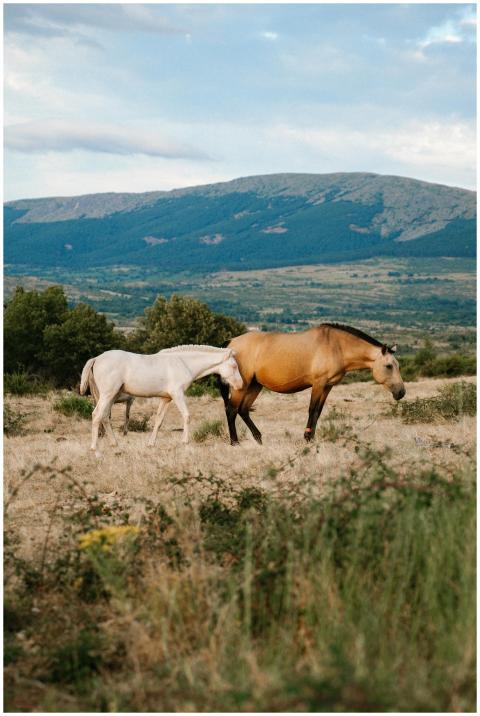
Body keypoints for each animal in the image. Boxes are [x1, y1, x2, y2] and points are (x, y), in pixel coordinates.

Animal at [80, 345, 243, 456]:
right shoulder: (177, 395)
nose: (240, 385)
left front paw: (151, 444)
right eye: (234, 365)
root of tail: (96, 358)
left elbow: (159, 420)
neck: (183, 363)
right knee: (97, 415)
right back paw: (95, 449)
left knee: (105, 417)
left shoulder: (166, 399)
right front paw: (185, 442)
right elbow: (186, 416)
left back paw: (115, 446)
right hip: (107, 394)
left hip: (111, 396)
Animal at [218, 323, 406, 445]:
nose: (401, 392)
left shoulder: (327, 386)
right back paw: (235, 443)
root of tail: (231, 342)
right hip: (241, 385)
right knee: (232, 410)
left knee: (243, 410)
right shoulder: (318, 384)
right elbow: (312, 409)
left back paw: (259, 439)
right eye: (389, 366)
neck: (336, 346)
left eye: (397, 365)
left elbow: (318, 412)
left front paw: (312, 438)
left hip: (255, 385)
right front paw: (307, 438)